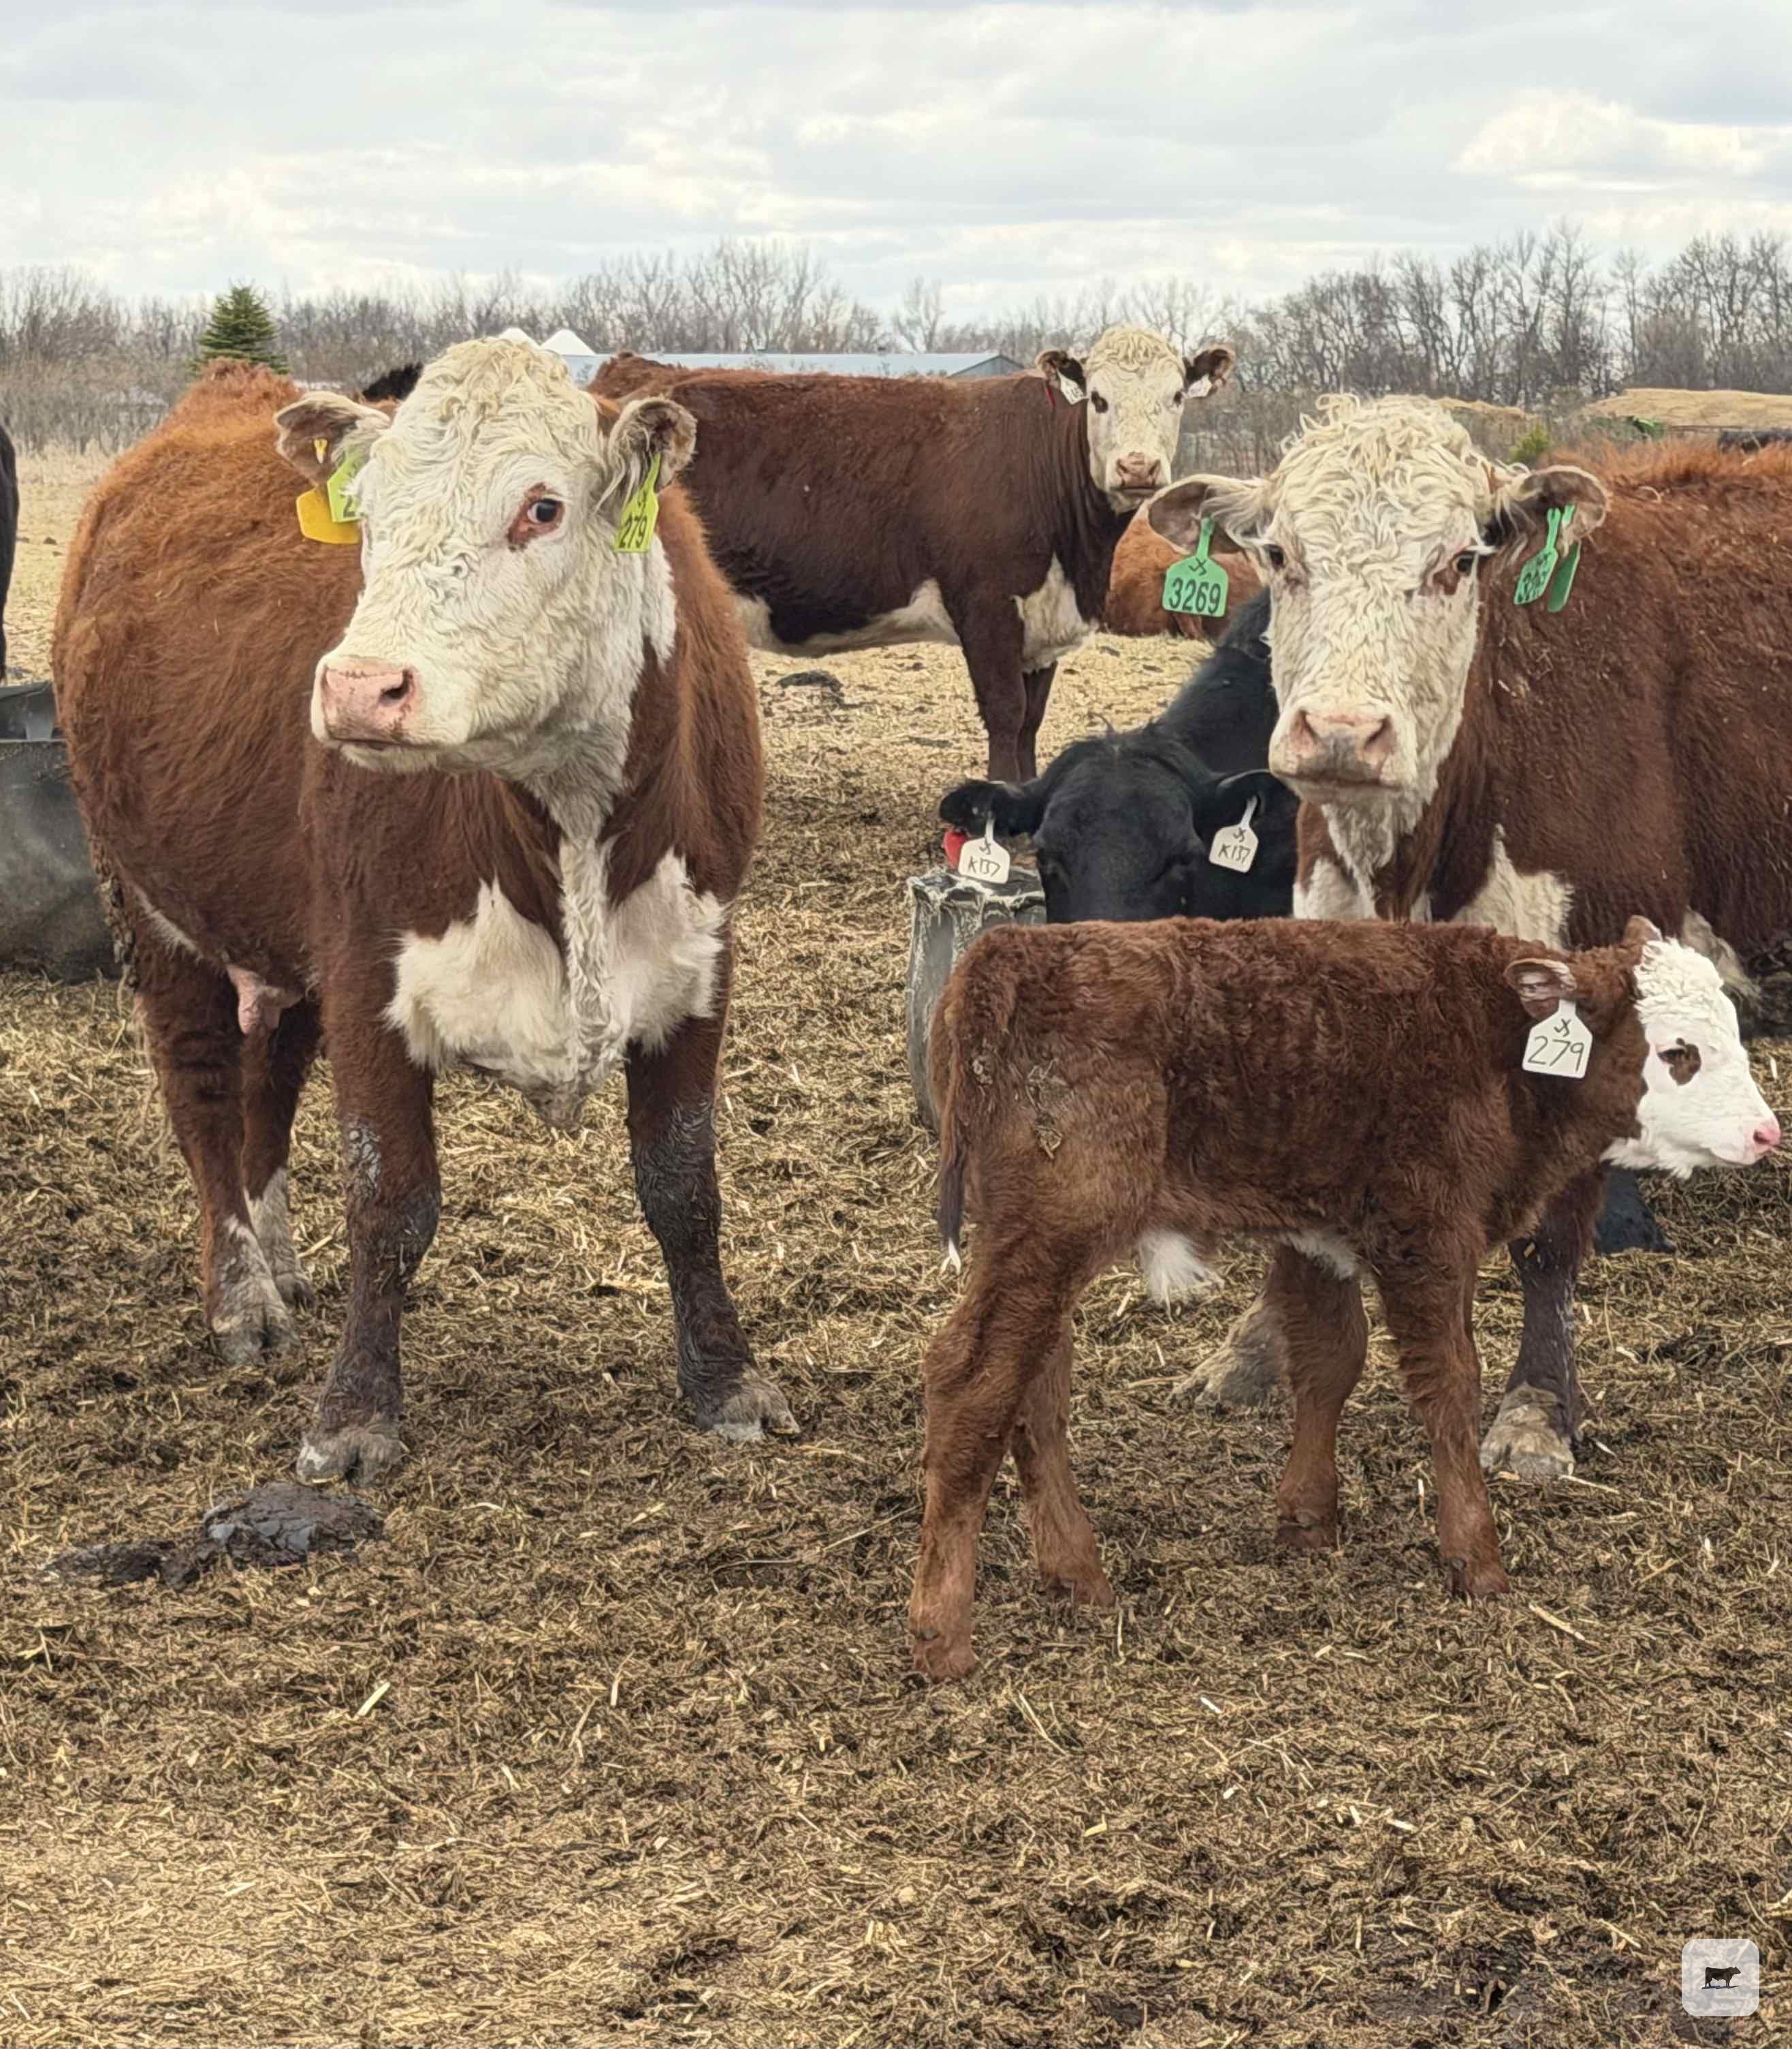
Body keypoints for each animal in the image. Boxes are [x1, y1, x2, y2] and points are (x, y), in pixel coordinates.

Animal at [54, 341, 793, 1484]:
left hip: (281, 930)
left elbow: (683, 1183)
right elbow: (389, 1198)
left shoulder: (698, 962)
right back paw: (242, 1296)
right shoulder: (370, 975)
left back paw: (281, 1260)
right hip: (147, 904)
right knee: (206, 1093)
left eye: (542, 506)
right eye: (372, 515)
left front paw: (726, 1379)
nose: (360, 688)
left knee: (269, 1079)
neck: (567, 822)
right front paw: (354, 1415)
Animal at [591, 330, 1237, 782]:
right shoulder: (987, 607)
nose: (1138, 467)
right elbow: (1005, 712)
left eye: (1176, 396)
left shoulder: (1044, 617)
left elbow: (1032, 720)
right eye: (1099, 399)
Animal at [908, 914, 1777, 1679]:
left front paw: (1307, 1518)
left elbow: (1331, 1362)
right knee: (972, 1379)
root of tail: (1008, 951)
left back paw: (1078, 1576)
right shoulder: (1428, 1235)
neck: (1493, 1043)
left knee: (1035, 1387)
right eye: (1678, 1051)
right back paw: (943, 1632)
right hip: (1052, 1233)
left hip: (1033, 1244)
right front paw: (1476, 1558)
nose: (1767, 1133)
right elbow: (1448, 1387)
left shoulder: (1316, 1234)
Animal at [1142, 401, 1792, 1480]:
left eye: (1456, 562)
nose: (1342, 732)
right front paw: (1257, 1349)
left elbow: (1550, 1236)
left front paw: (1537, 1409)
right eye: (1279, 555)